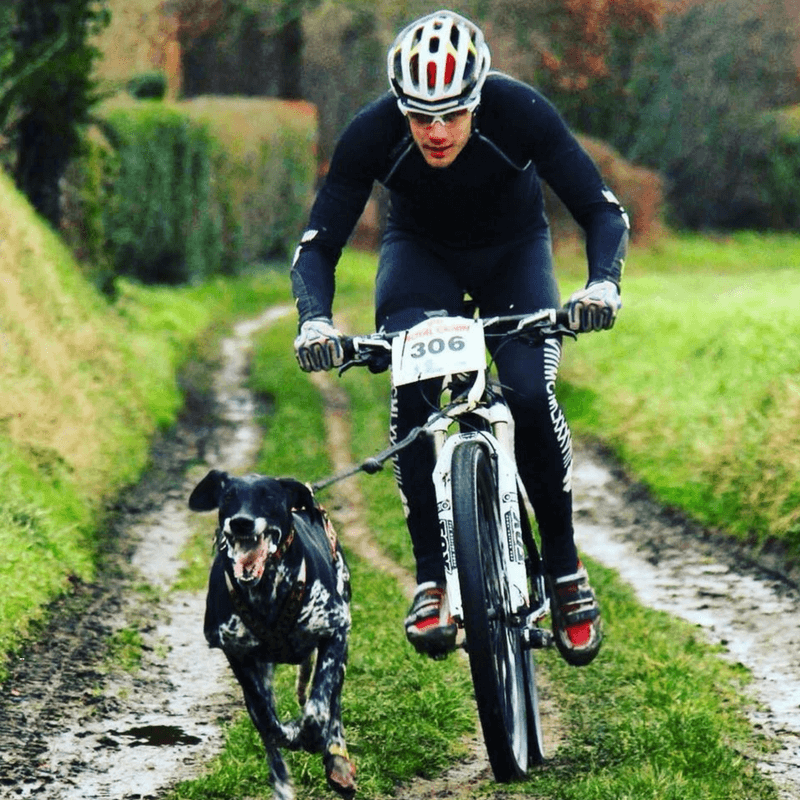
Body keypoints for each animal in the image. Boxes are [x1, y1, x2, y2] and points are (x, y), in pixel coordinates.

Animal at [189, 468, 354, 800]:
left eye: (268, 496)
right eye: (228, 495)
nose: (240, 522)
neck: (267, 592)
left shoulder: (334, 632)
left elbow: (318, 709)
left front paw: (313, 736)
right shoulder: (237, 655)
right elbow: (268, 723)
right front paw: (289, 736)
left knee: (334, 705)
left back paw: (337, 760)